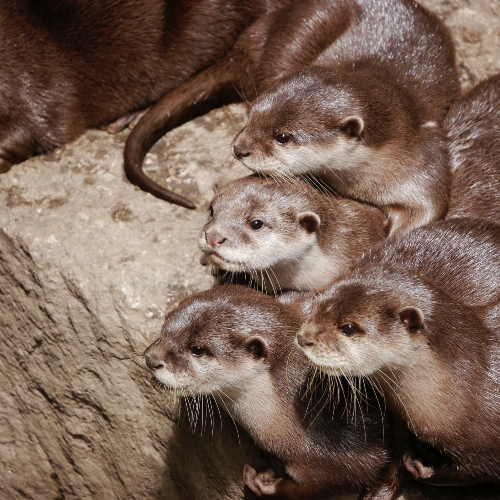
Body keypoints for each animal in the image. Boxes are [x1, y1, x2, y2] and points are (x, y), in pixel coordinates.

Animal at [145, 286, 390, 500]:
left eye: (197, 349)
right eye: (165, 324)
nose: (151, 359)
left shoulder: (341, 447)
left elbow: (331, 478)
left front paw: (262, 483)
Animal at [294, 219, 500, 496]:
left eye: (348, 327)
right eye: (316, 305)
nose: (303, 338)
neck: (470, 387)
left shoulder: (484, 456)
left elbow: (460, 474)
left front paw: (420, 468)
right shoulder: (400, 420)